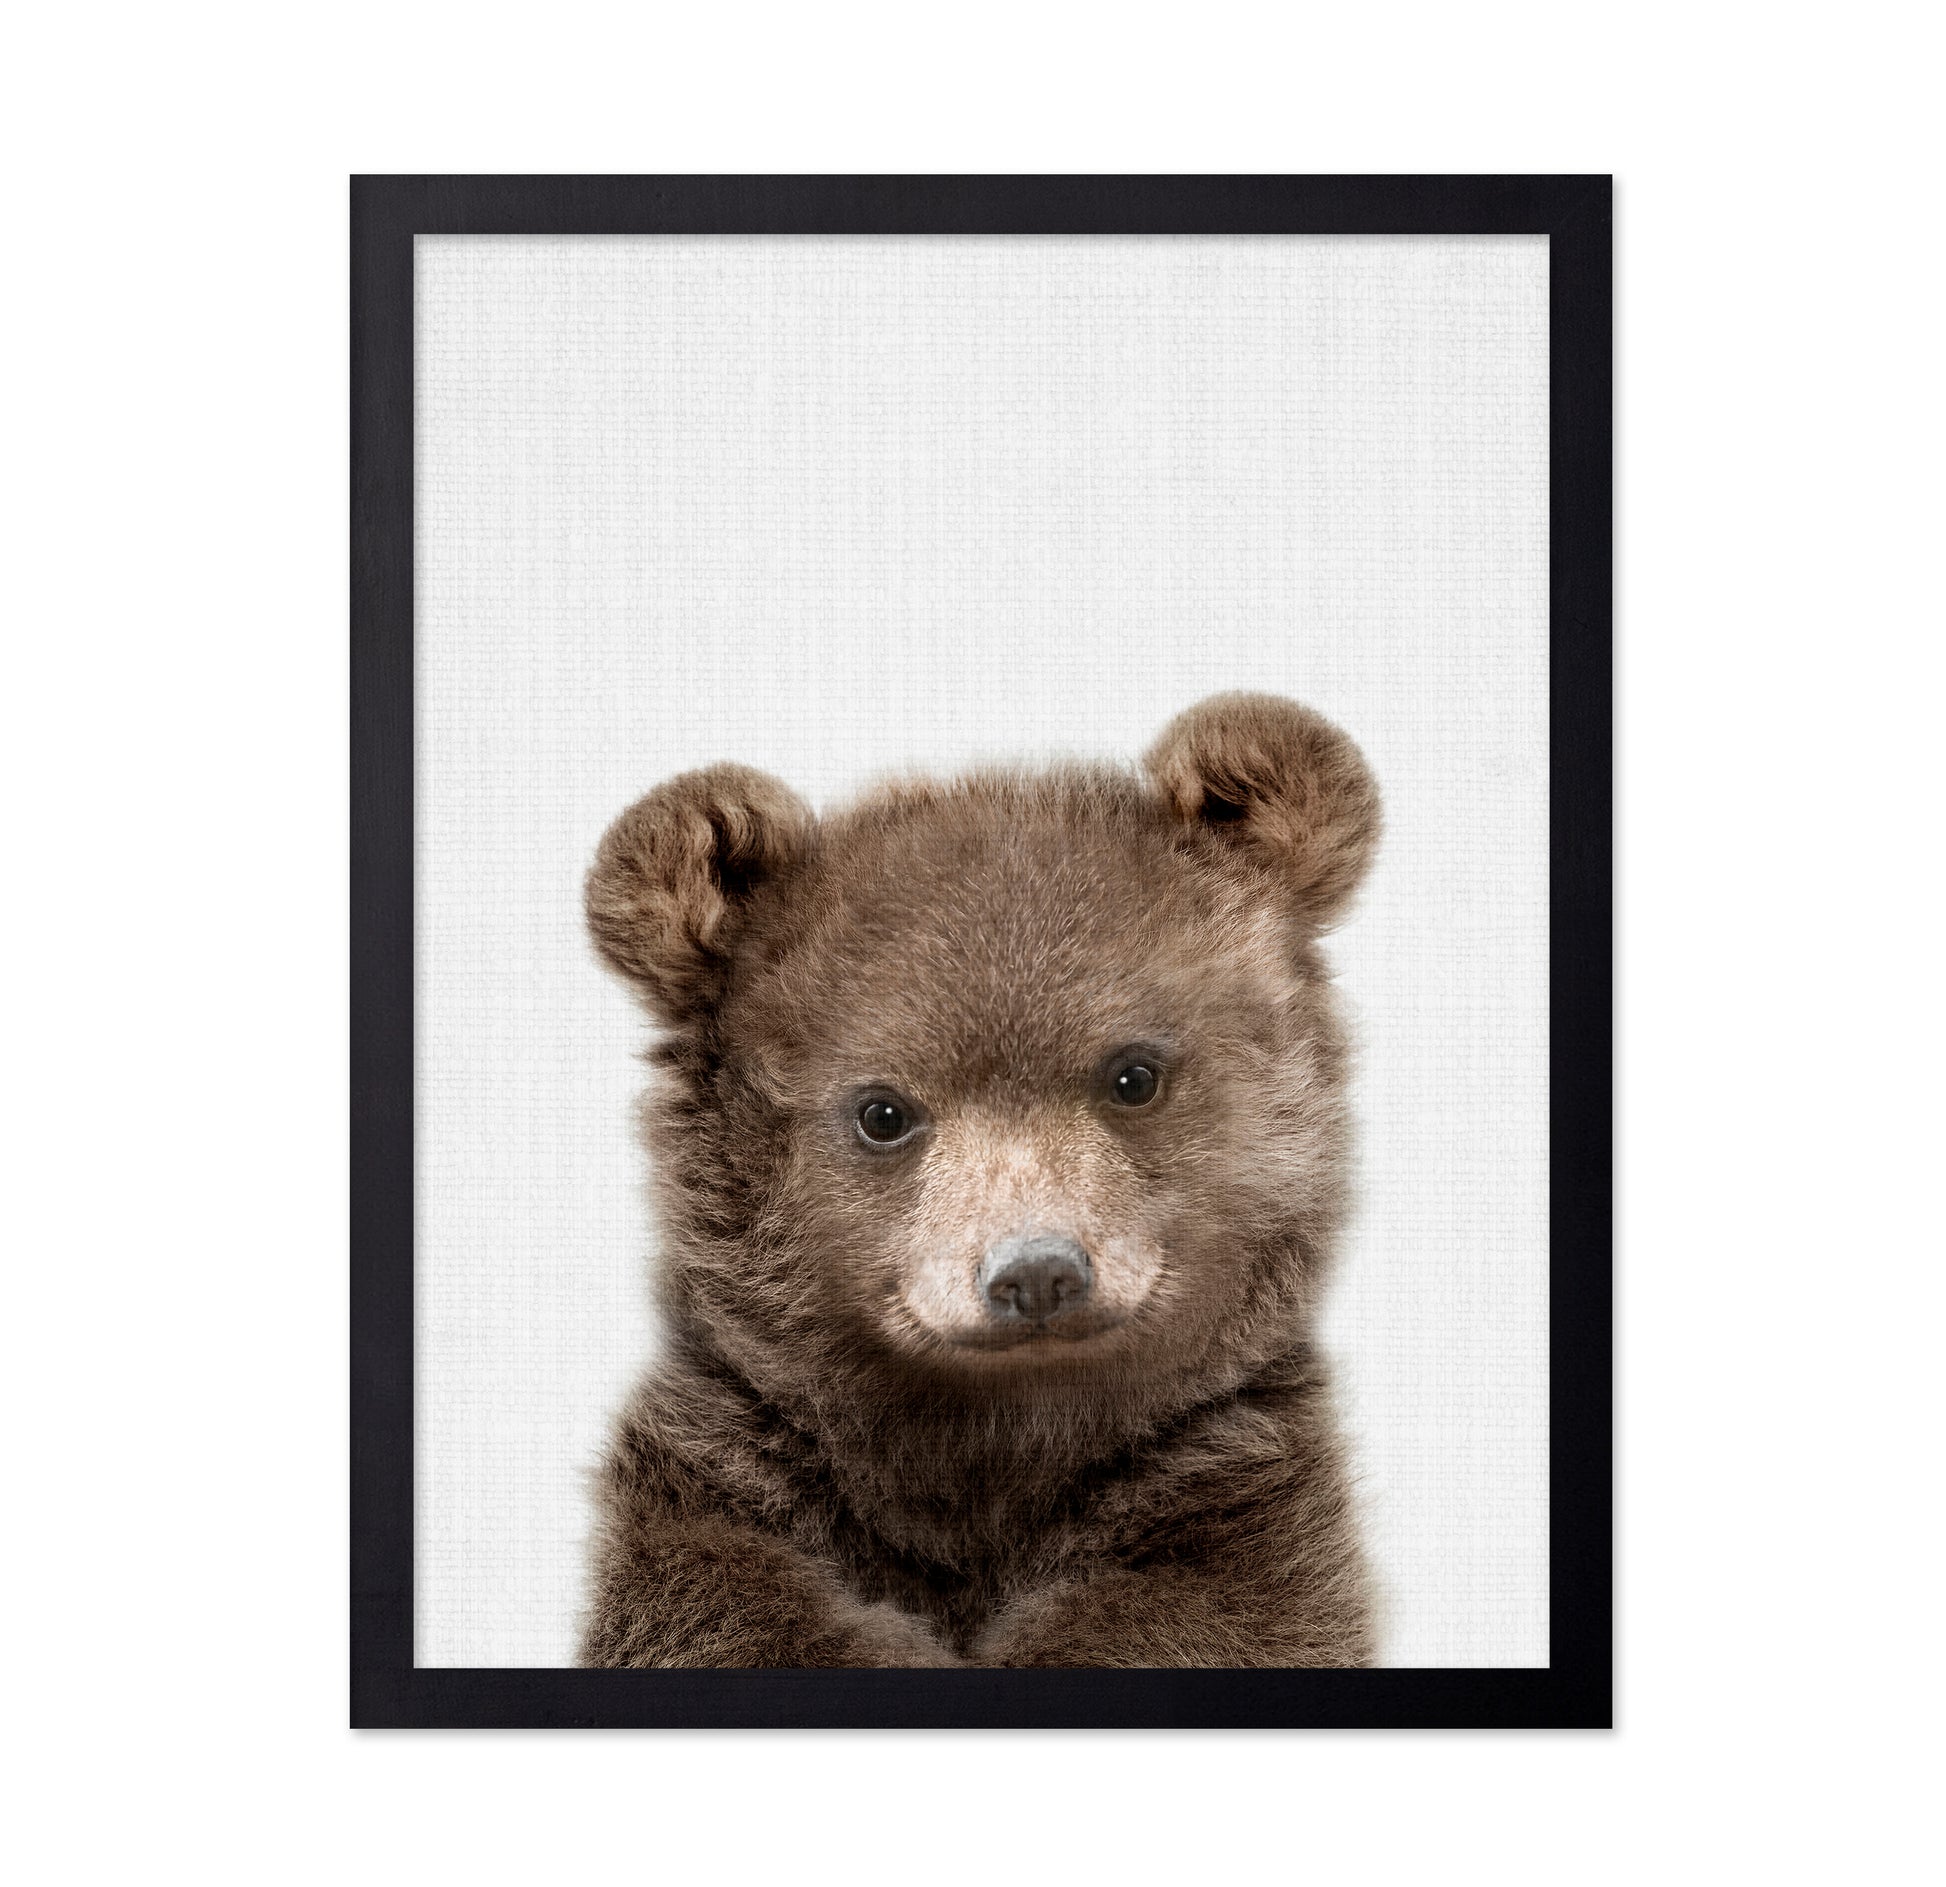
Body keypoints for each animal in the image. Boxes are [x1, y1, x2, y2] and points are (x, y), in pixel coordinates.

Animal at [578, 692, 1382, 1667]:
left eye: (1133, 1073)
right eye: (882, 1110)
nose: (1036, 1273)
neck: (992, 1446)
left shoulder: (1228, 1490)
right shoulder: (734, 1471)